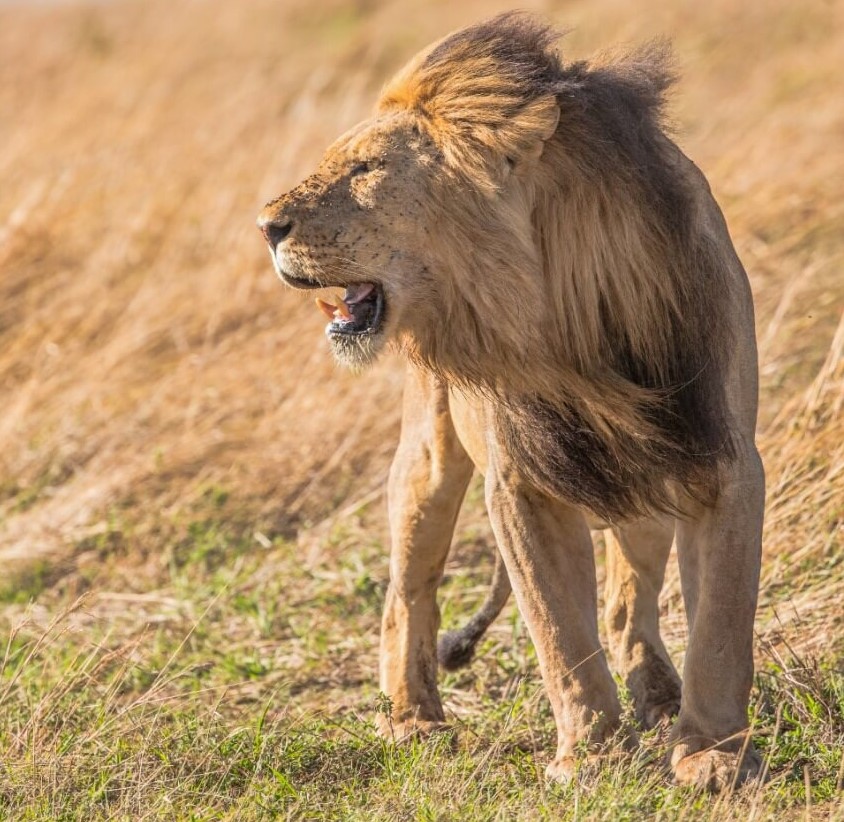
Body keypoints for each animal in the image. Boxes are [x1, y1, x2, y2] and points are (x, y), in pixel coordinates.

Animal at [258, 16, 764, 796]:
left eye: (366, 169)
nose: (265, 227)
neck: (568, 319)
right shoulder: (522, 484)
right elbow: (560, 633)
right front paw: (590, 757)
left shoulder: (721, 460)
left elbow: (720, 623)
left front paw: (712, 753)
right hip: (429, 456)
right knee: (408, 590)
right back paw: (413, 718)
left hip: (644, 484)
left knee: (626, 602)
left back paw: (657, 695)